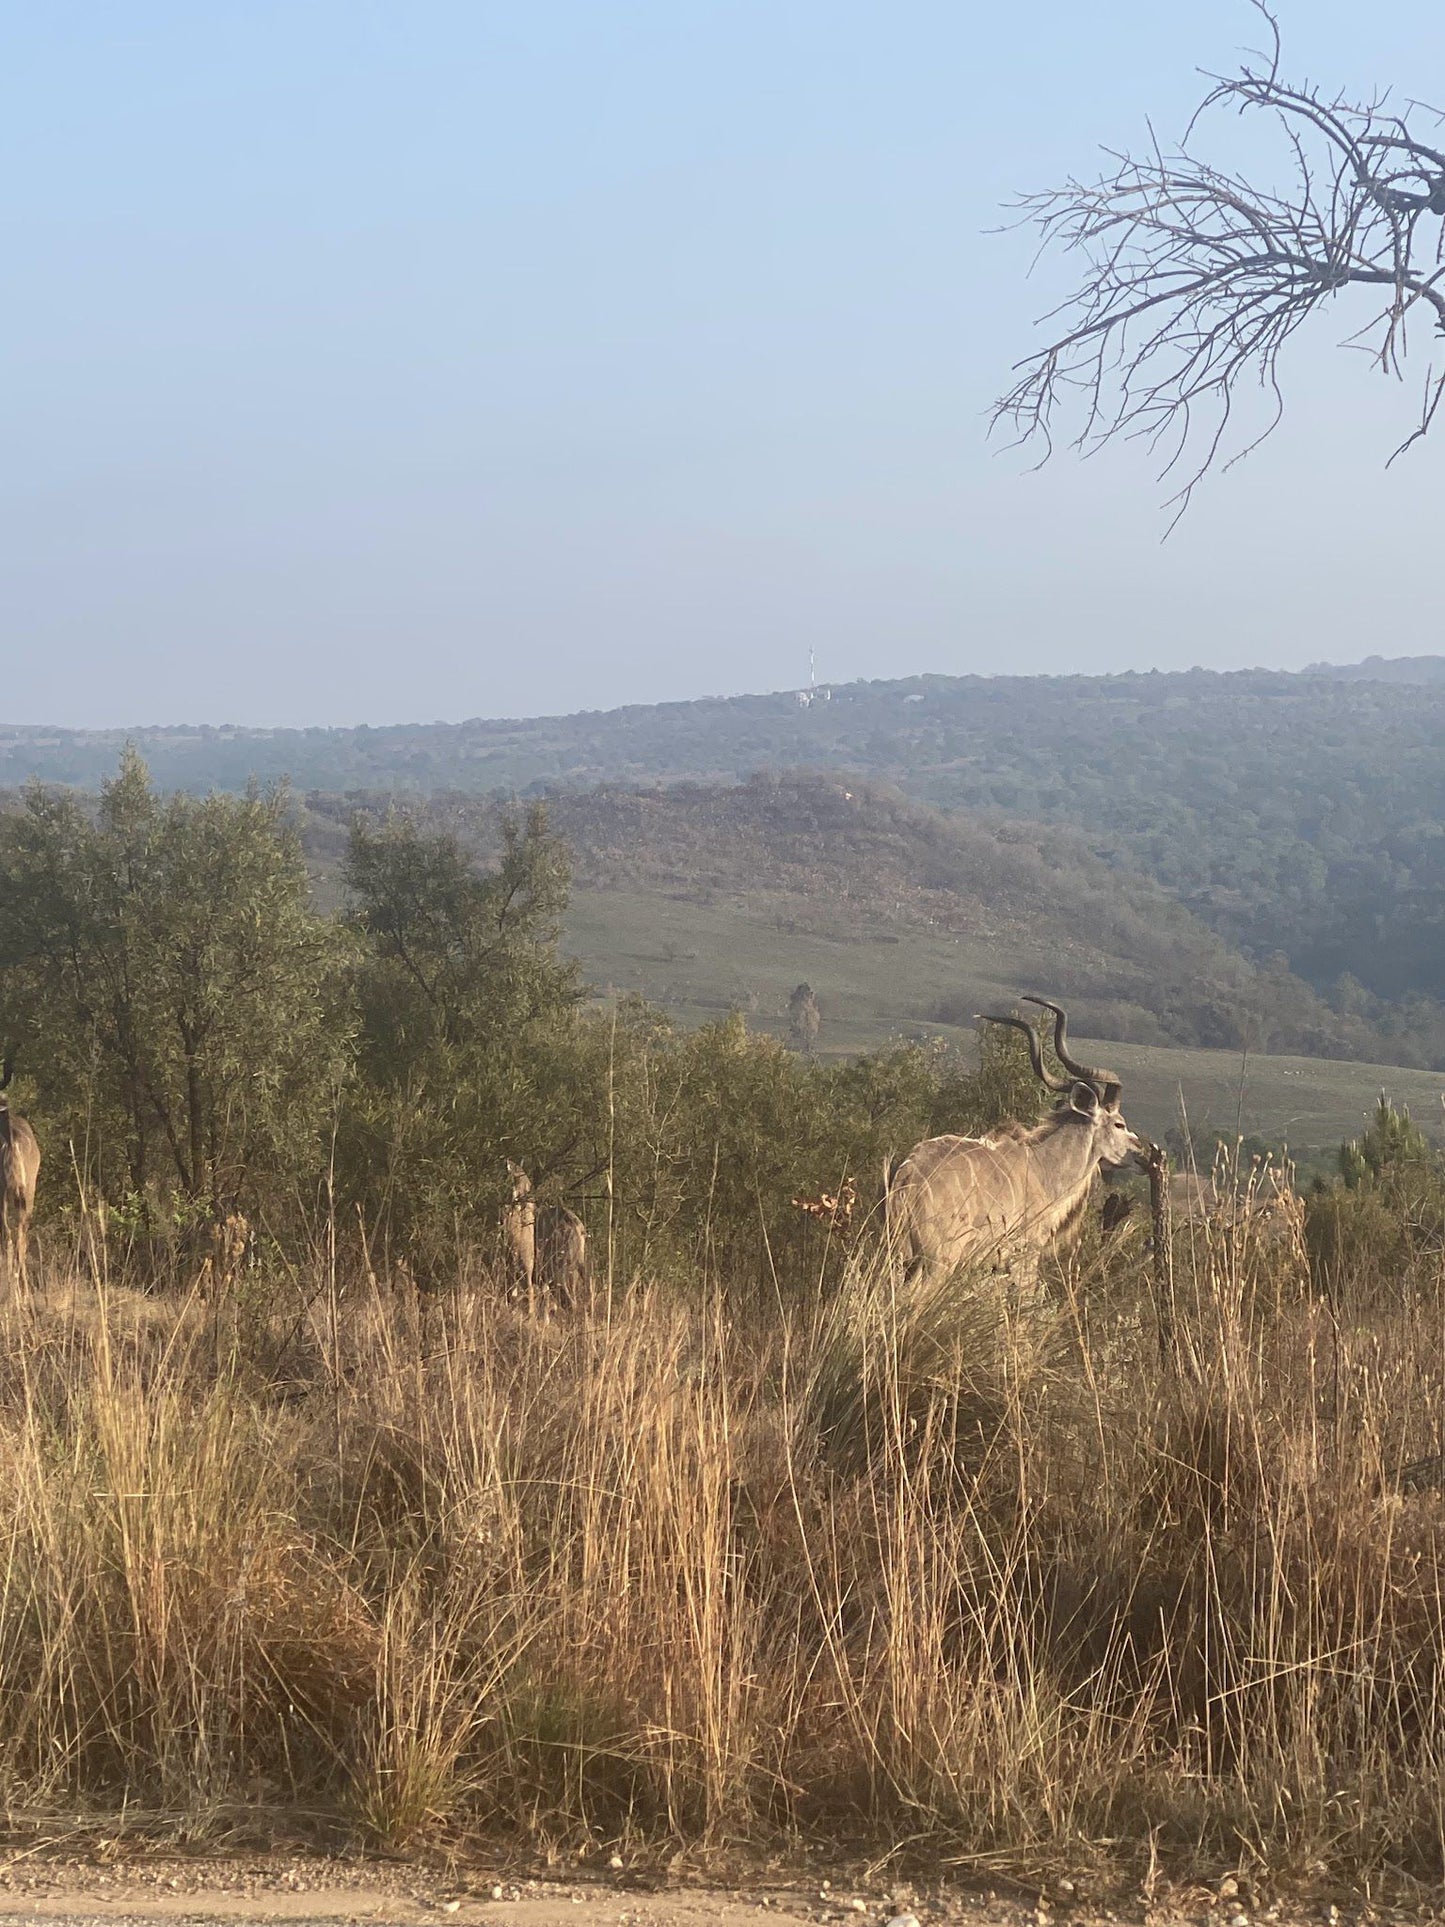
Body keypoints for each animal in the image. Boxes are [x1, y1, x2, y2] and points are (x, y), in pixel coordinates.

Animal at [890, 1002, 1148, 1287]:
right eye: (1119, 1124)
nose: (1141, 1153)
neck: (1041, 1164)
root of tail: (908, 1176)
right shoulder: (1025, 1255)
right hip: (938, 1262)